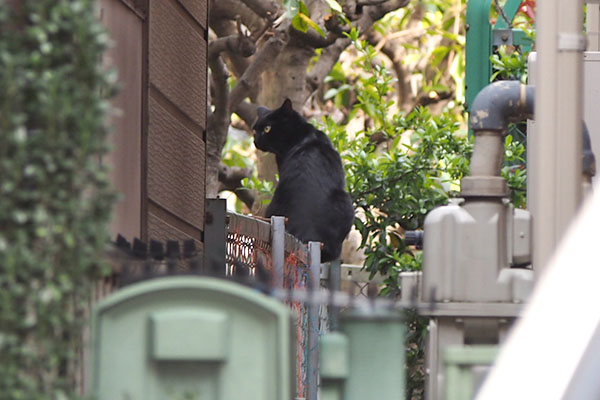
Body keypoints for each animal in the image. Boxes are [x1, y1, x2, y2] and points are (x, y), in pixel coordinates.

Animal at [252, 99, 354, 262]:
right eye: (255, 130)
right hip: (346, 201)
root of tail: (306, 232)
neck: (300, 133)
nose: (255, 140)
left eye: (267, 129)